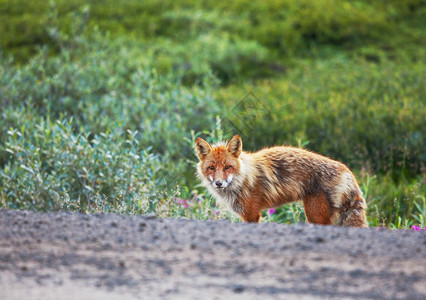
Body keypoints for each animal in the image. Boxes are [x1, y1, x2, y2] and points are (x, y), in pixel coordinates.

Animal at [195, 135, 368, 226]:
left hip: (315, 216)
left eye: (227, 167)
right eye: (211, 168)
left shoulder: (251, 214)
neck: (242, 179)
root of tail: (347, 170)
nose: (219, 183)